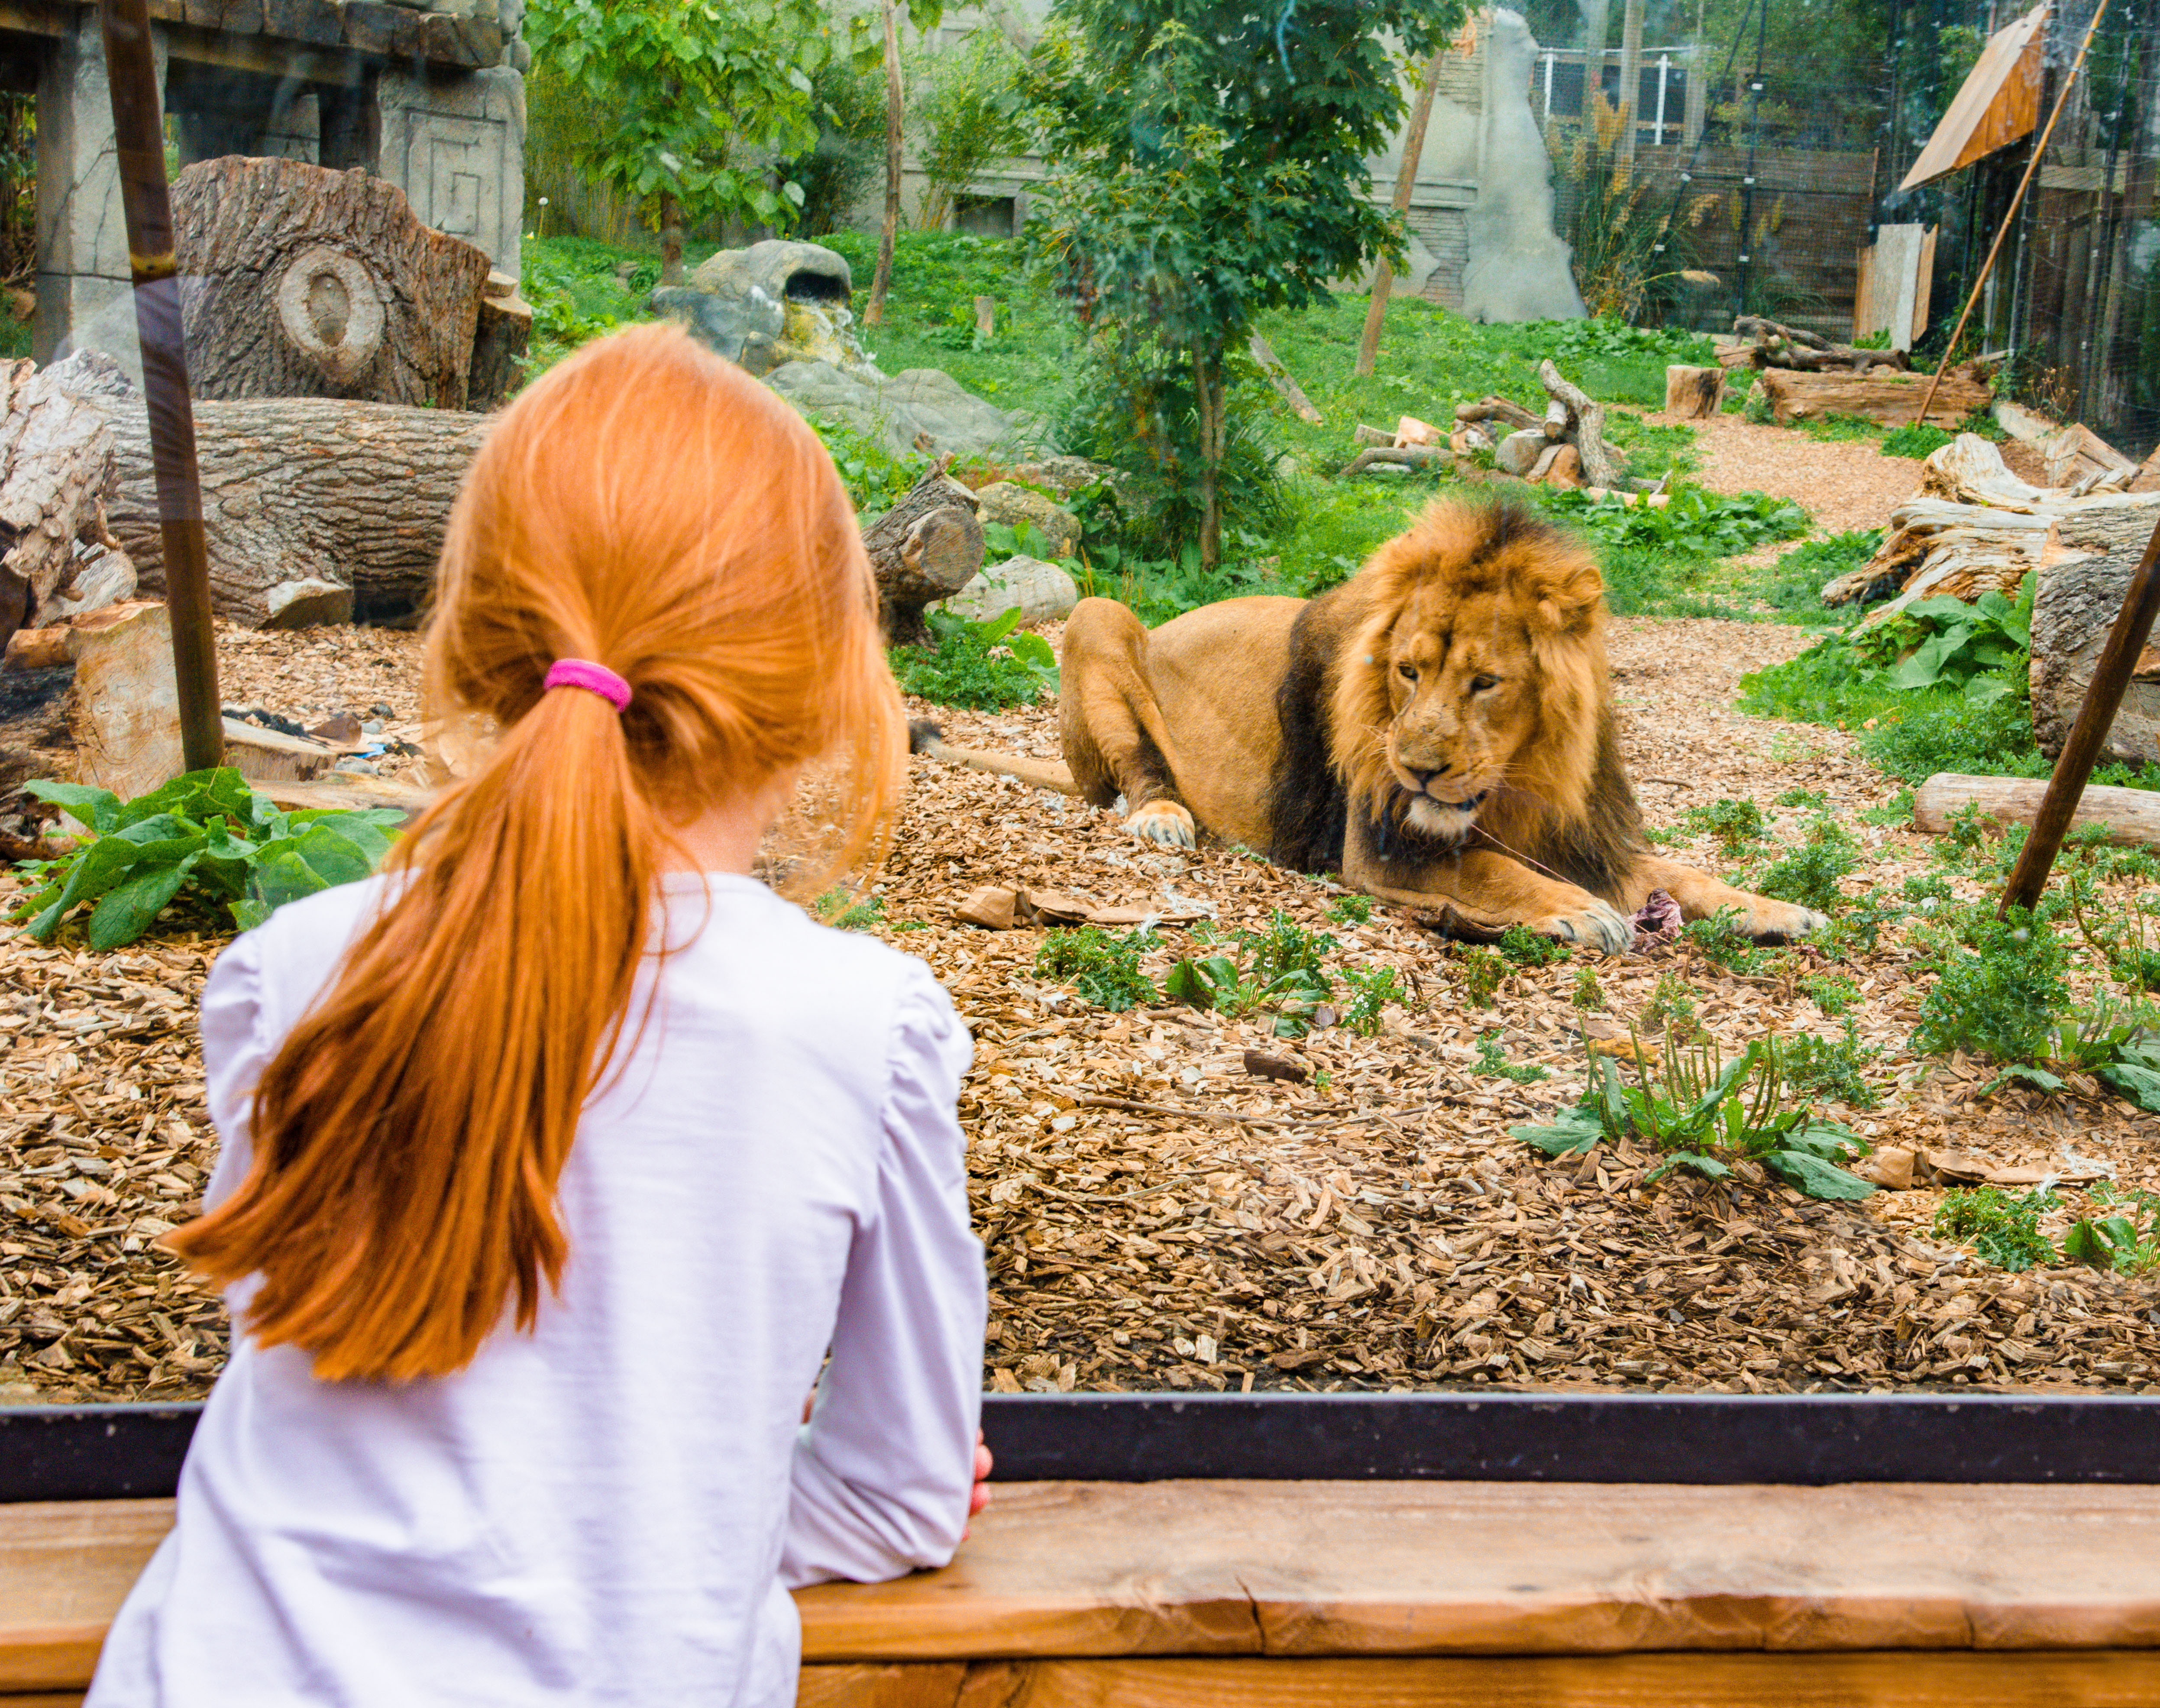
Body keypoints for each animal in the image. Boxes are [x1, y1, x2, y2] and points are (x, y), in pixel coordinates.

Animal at [911, 494, 1823, 954]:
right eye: (1407, 671)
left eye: (1484, 682)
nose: (1417, 769)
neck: (1519, 781)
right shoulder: (1386, 842)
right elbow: (1492, 871)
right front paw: (1578, 910)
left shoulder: (1585, 833)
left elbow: (1681, 872)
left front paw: (1777, 908)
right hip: (1098, 618)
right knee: (1131, 780)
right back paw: (1165, 817)